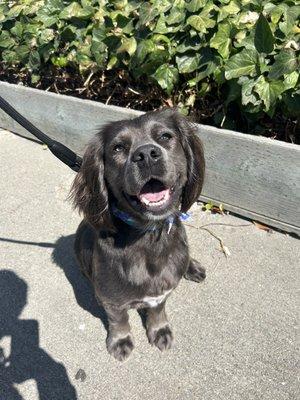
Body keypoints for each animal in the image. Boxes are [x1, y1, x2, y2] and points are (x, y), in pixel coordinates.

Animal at [71, 108, 206, 360]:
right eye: (117, 148)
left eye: (165, 136)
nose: (146, 154)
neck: (150, 235)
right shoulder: (111, 300)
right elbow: (119, 319)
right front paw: (120, 340)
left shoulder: (162, 291)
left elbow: (158, 310)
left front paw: (159, 330)